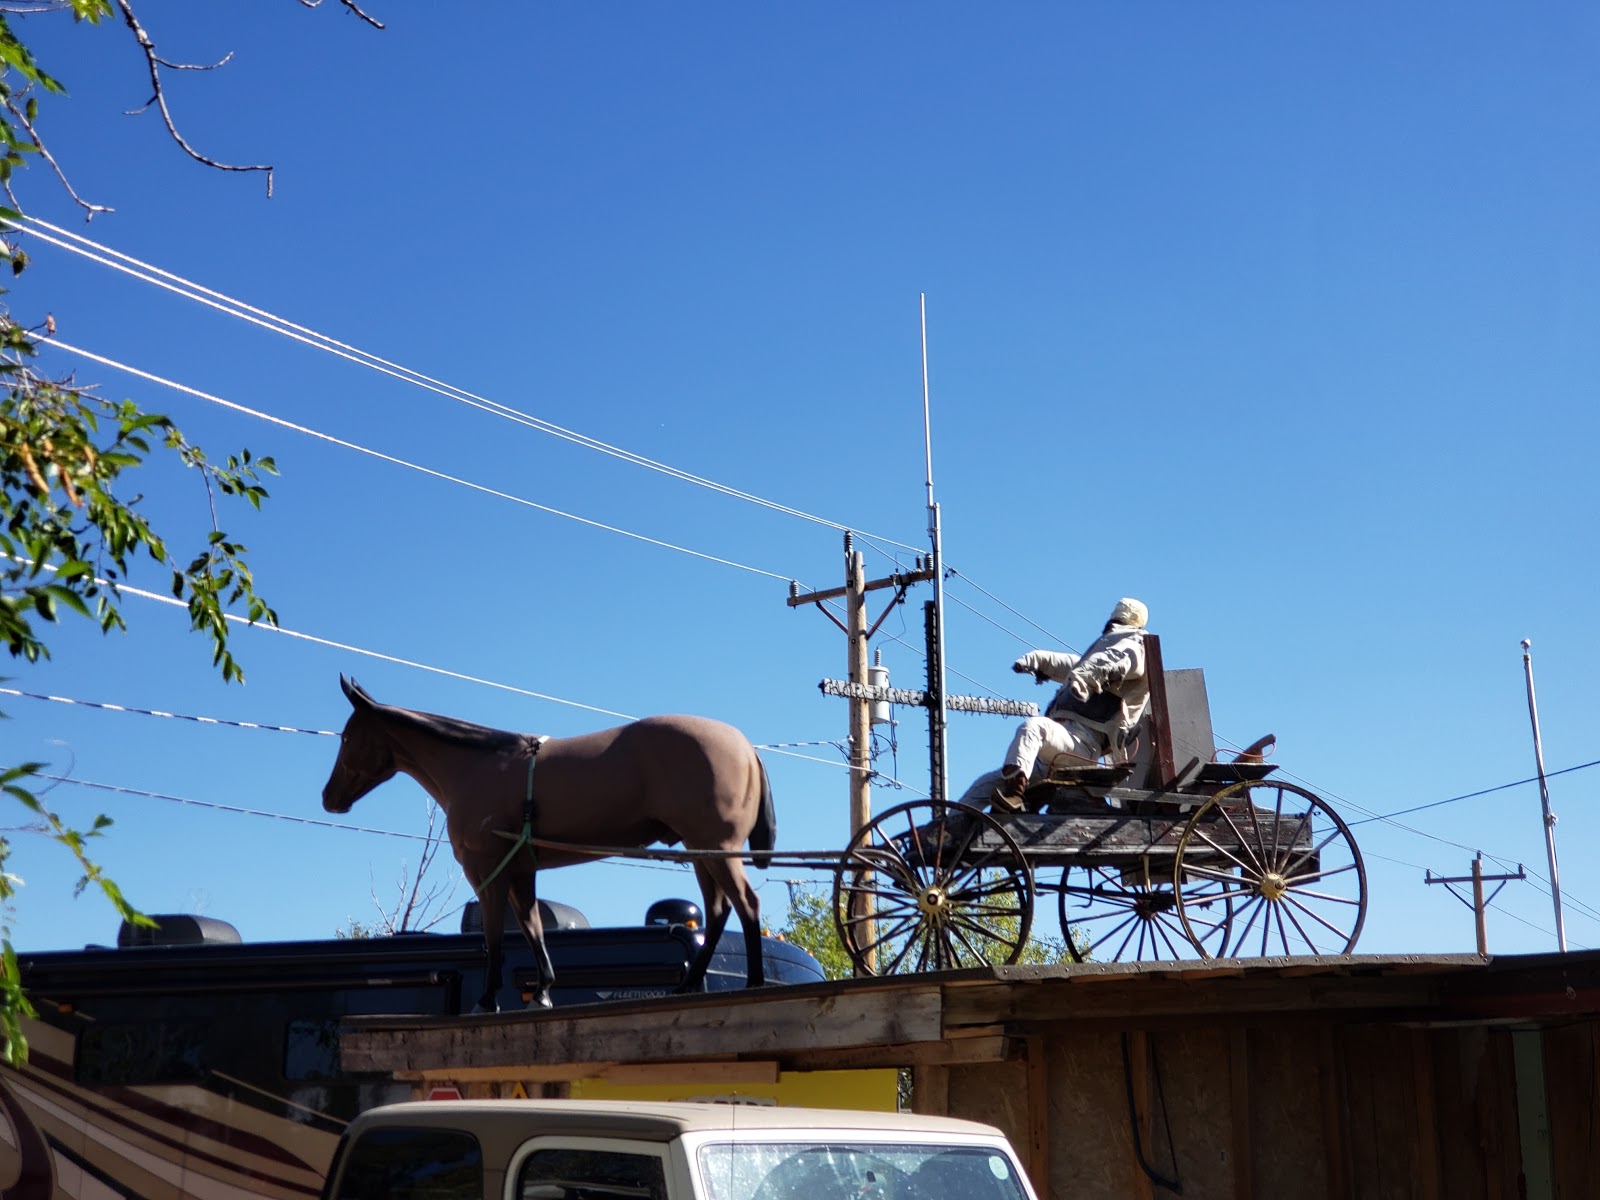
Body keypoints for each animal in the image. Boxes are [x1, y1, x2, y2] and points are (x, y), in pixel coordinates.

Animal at [320, 677, 776, 1011]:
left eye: (346, 738)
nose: (329, 798)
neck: (477, 766)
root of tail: (745, 747)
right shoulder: (521, 869)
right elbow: (531, 928)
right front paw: (542, 991)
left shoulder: (485, 870)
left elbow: (494, 936)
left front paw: (487, 999)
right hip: (703, 852)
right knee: (718, 912)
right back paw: (690, 984)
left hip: (718, 847)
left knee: (746, 903)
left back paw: (754, 983)